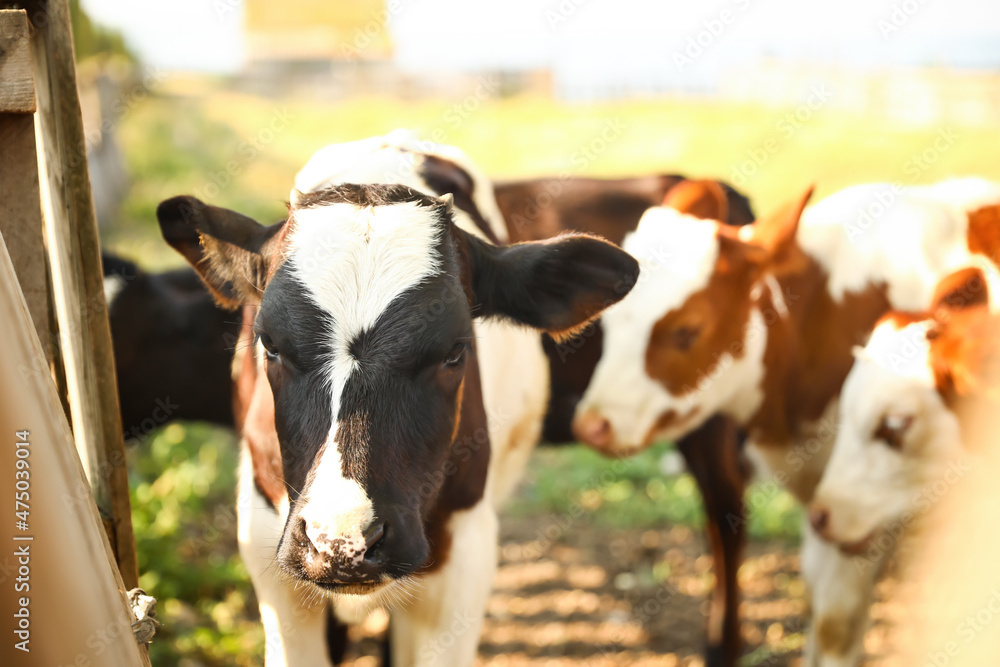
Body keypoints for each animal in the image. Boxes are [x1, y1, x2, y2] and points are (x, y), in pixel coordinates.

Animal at [572, 179, 1000, 667]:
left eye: (686, 331)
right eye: (609, 325)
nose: (592, 425)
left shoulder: (862, 510)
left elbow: (836, 623)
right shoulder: (827, 505)